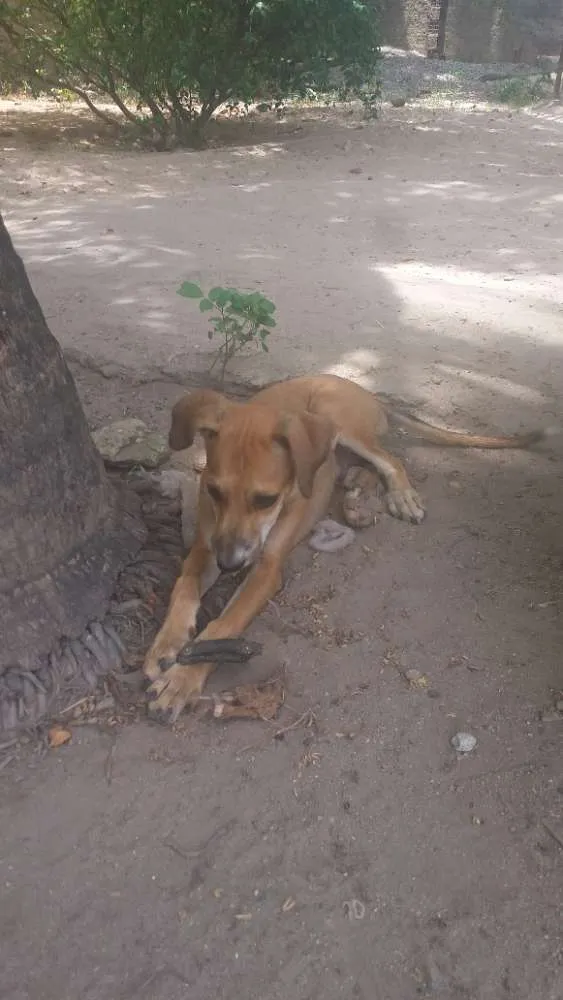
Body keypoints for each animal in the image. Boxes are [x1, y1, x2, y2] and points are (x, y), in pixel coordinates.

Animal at [144, 374, 548, 720]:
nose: (230, 565)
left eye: (265, 499)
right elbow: (184, 588)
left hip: (339, 419)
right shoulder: (205, 547)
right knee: (363, 468)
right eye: (214, 491)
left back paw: (399, 496)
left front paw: (181, 680)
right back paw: (355, 496)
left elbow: (225, 624)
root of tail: (355, 386)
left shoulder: (268, 568)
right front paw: (166, 644)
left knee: (391, 460)